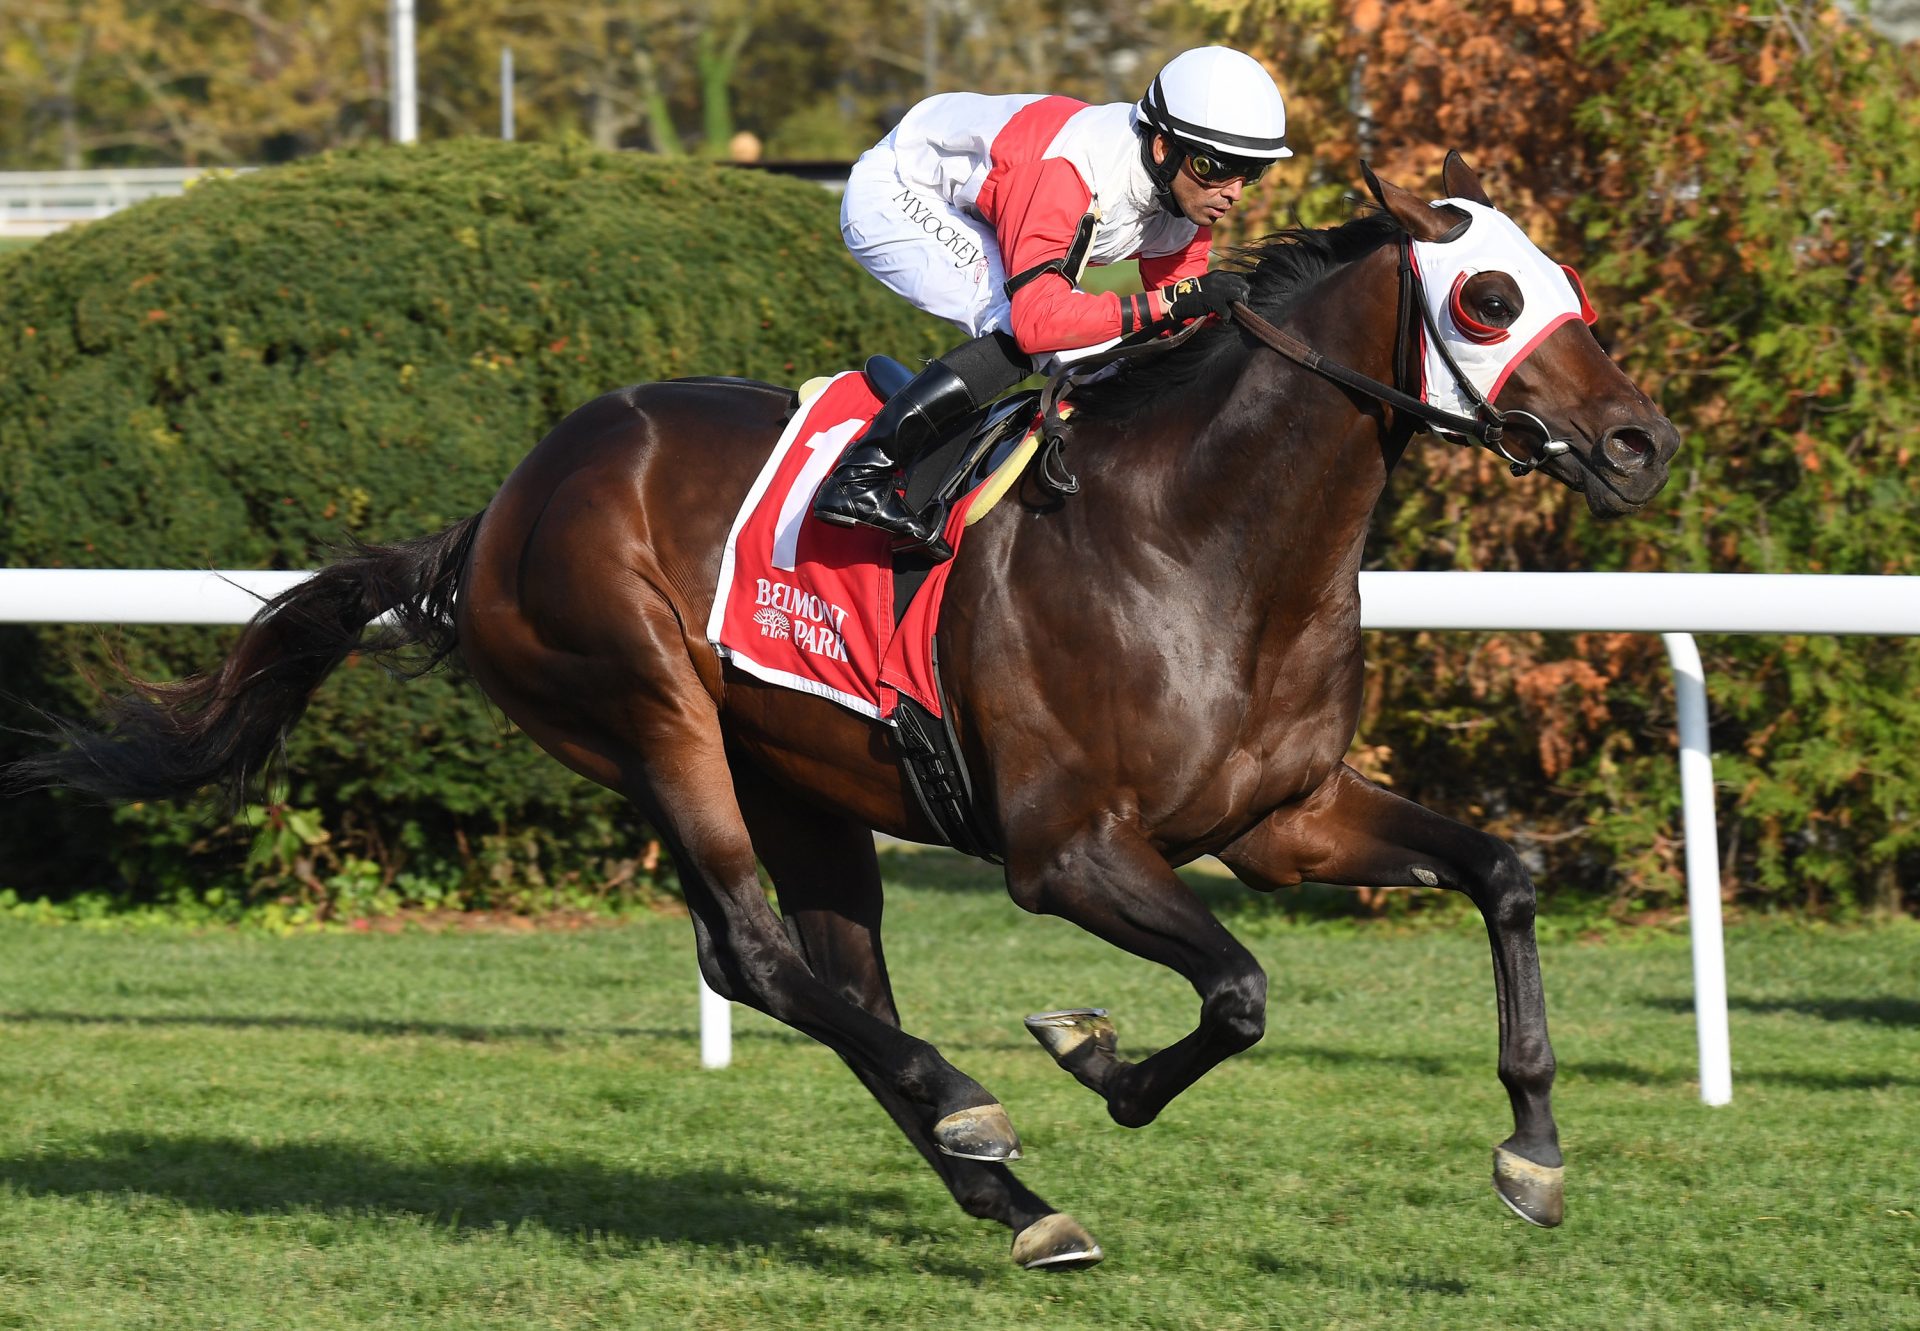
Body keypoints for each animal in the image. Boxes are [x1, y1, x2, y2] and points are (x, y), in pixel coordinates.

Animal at [26, 161, 1681, 1275]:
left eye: (1571, 288)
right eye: (1486, 298)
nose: (1639, 441)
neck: (1204, 541)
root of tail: (494, 504)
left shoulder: (1282, 817)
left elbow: (1504, 871)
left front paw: (1533, 1151)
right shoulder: (1064, 849)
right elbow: (1240, 989)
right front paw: (1091, 1051)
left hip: (806, 774)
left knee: (832, 972)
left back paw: (1009, 1192)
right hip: (646, 711)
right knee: (754, 950)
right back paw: (977, 1114)